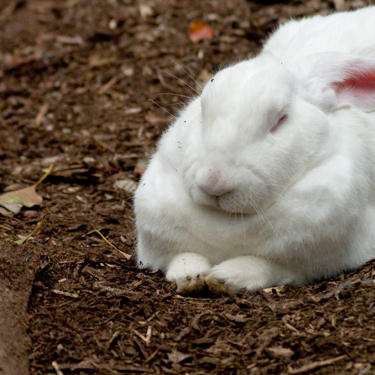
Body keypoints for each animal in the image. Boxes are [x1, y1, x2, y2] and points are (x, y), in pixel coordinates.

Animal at [134, 4, 375, 296]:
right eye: (202, 110)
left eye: (280, 119)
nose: (214, 181)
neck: (225, 221)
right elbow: (182, 257)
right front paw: (192, 276)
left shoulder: (307, 259)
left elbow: (264, 266)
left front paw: (225, 277)